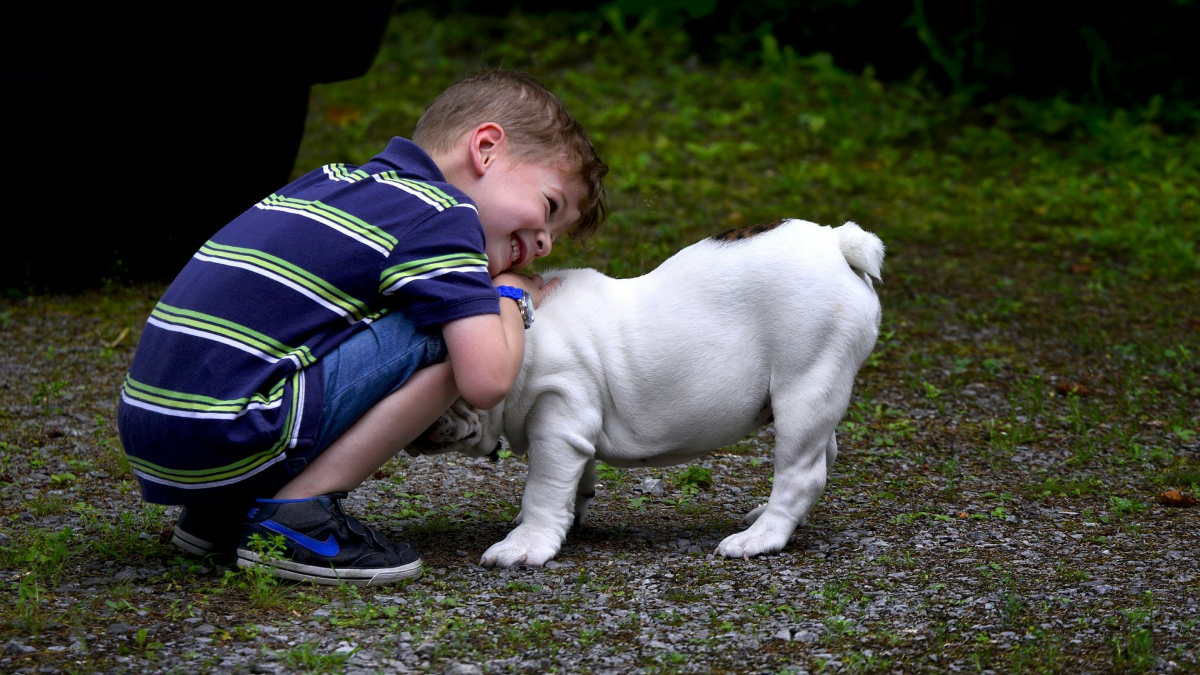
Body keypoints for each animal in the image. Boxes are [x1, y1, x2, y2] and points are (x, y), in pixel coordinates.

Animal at [412, 219, 883, 562]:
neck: (520, 336)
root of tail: (838, 242)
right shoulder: (574, 430)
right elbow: (575, 478)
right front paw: (571, 513)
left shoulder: (557, 419)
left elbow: (543, 489)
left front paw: (526, 544)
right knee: (824, 452)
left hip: (805, 381)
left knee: (801, 472)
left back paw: (759, 537)